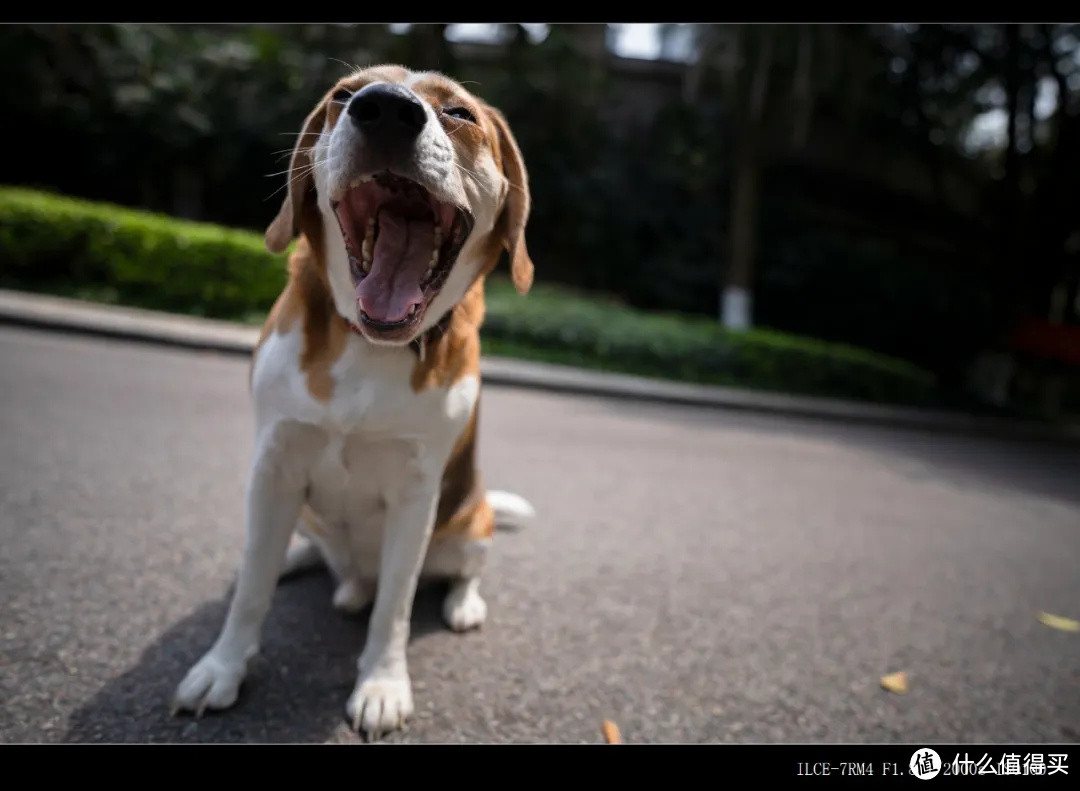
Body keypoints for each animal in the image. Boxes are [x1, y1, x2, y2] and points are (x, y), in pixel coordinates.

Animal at [169, 64, 535, 739]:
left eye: (460, 113)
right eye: (344, 95)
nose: (385, 108)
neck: (371, 344)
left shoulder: (416, 494)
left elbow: (395, 606)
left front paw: (382, 685)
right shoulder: (274, 464)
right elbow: (253, 590)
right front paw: (223, 666)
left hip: (471, 522)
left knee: (459, 569)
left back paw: (462, 602)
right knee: (302, 554)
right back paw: (299, 560)